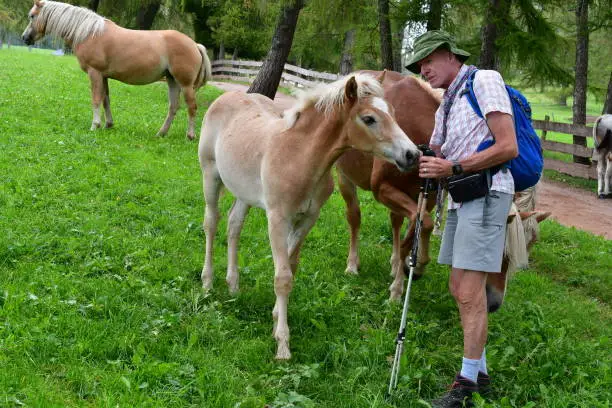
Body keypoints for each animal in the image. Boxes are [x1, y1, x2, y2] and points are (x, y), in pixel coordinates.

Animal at [21, 0, 212, 139]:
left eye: (32, 16)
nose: (24, 38)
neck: (90, 33)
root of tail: (194, 44)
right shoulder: (104, 76)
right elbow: (106, 100)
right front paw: (108, 124)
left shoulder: (94, 73)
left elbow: (96, 99)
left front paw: (95, 125)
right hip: (172, 81)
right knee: (173, 107)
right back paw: (161, 133)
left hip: (185, 84)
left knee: (191, 107)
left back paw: (190, 136)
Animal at [201, 73, 420, 360]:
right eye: (369, 118)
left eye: (393, 112)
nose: (412, 154)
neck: (299, 157)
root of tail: (226, 97)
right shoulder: (277, 219)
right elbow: (282, 277)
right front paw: (283, 344)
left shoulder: (307, 219)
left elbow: (290, 266)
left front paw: (275, 318)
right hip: (210, 177)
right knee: (211, 223)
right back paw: (207, 283)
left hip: (243, 192)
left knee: (233, 225)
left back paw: (233, 286)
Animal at [334, 70, 440, 300]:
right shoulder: (382, 189)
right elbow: (420, 229)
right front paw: (400, 286)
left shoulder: (426, 199)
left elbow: (418, 229)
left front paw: (408, 270)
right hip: (345, 179)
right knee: (354, 218)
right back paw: (352, 265)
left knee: (396, 222)